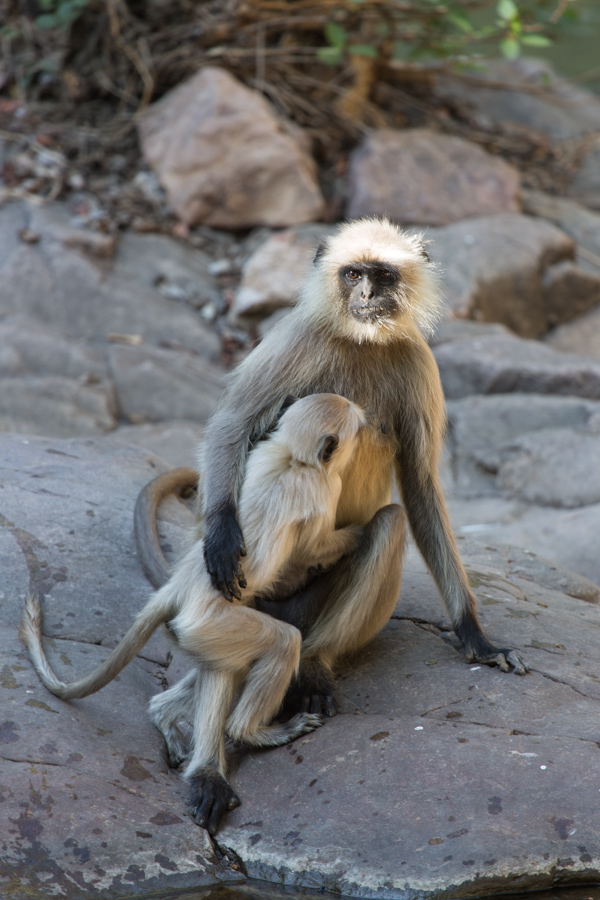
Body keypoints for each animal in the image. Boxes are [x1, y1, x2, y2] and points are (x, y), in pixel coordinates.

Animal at [21, 393, 372, 835]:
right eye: (357, 429)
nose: (370, 429)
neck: (293, 459)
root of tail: (178, 586)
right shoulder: (322, 489)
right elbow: (313, 550)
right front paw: (360, 532)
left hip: (200, 629)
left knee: (225, 665)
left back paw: (166, 715)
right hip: (210, 621)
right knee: (282, 641)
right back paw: (250, 734)